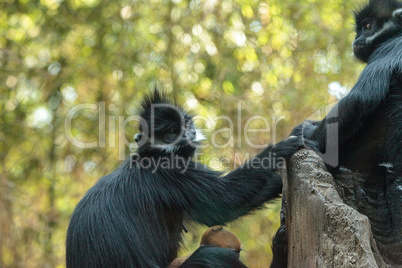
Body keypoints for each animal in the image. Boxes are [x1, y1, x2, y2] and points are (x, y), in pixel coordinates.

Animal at [66, 90, 304, 268]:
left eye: (186, 125)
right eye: (172, 131)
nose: (188, 135)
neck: (151, 155)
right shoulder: (168, 173)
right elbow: (225, 202)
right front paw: (282, 148)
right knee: (215, 256)